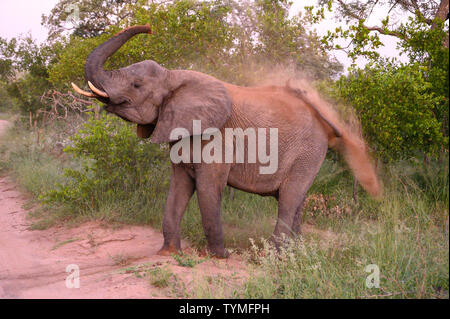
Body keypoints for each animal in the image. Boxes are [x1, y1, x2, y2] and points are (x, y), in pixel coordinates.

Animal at [72, 25, 382, 260]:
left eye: (136, 86)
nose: (148, 27)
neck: (175, 78)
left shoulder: (216, 138)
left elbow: (208, 188)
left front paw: (219, 257)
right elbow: (179, 187)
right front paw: (169, 254)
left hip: (309, 150)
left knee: (289, 198)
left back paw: (274, 257)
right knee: (296, 200)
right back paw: (295, 252)